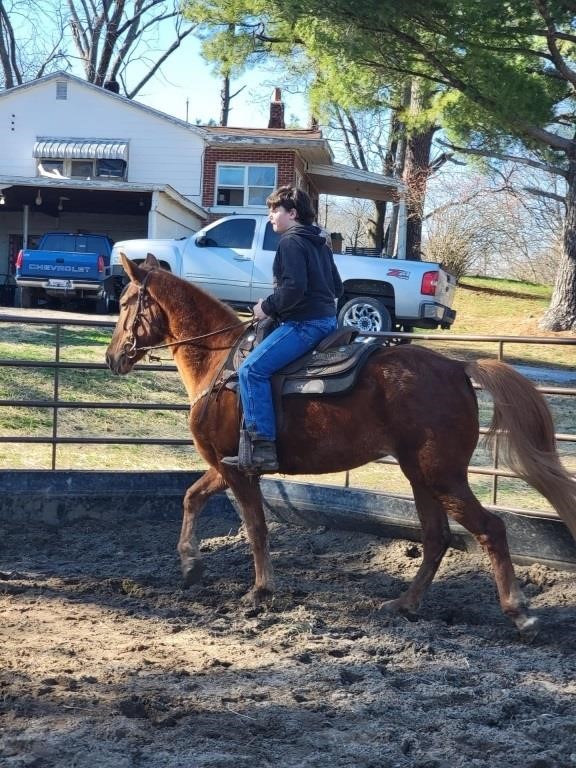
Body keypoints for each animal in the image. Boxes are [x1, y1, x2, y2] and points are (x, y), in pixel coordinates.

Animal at [106, 256, 576, 636]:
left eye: (127, 301)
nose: (112, 358)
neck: (219, 363)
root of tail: (458, 368)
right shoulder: (226, 465)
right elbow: (192, 496)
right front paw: (190, 565)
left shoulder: (236, 469)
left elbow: (256, 526)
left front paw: (260, 591)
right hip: (420, 475)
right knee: (436, 537)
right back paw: (405, 604)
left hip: (442, 476)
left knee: (489, 529)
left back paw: (520, 614)